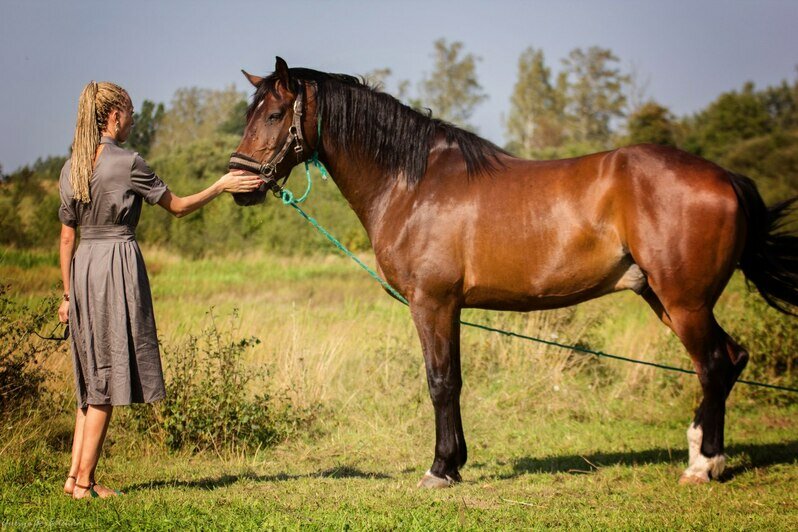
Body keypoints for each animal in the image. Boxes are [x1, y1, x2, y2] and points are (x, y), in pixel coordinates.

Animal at [231, 57, 798, 486]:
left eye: (276, 113)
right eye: (250, 113)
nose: (240, 181)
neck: (414, 183)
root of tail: (725, 177)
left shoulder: (432, 302)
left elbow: (440, 381)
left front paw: (440, 469)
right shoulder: (449, 307)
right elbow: (454, 380)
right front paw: (456, 462)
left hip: (684, 301)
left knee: (714, 365)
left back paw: (702, 466)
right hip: (666, 298)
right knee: (730, 358)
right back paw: (706, 455)